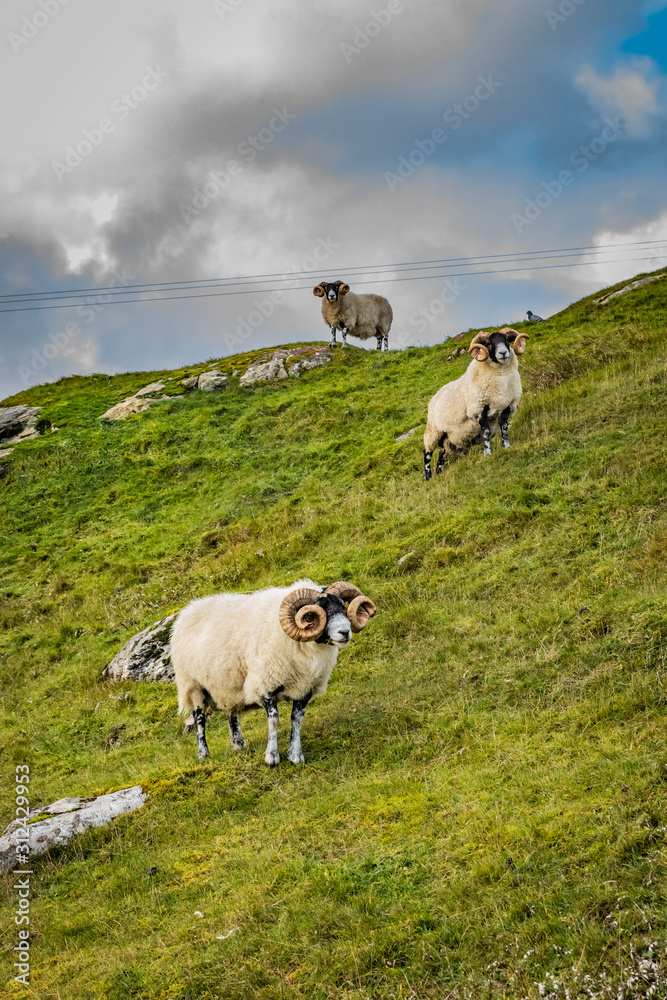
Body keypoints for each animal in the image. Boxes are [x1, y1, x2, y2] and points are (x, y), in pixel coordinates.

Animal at [170, 580, 378, 764]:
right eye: (312, 615)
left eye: (342, 607)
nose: (345, 632)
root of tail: (187, 611)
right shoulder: (265, 684)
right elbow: (274, 721)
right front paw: (272, 757)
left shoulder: (305, 688)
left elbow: (297, 720)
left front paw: (295, 756)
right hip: (193, 686)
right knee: (199, 720)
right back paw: (203, 754)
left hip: (227, 687)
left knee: (232, 714)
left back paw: (239, 745)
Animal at [426, 328, 528, 480]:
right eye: (488, 343)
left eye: (506, 340)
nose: (503, 353)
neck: (501, 378)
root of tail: (434, 397)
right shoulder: (480, 409)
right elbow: (486, 432)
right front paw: (487, 453)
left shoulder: (507, 406)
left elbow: (504, 428)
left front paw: (507, 446)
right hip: (433, 431)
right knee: (427, 453)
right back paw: (427, 477)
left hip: (447, 437)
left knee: (441, 453)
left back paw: (439, 472)